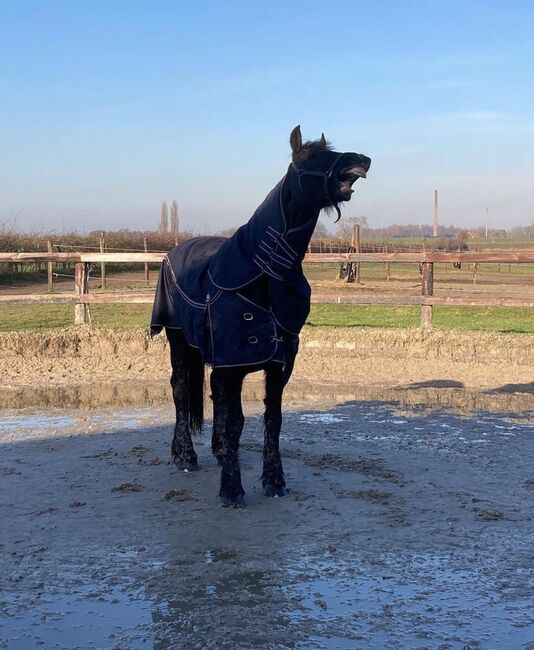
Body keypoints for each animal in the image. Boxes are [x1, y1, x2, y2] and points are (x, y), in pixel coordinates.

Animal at [151, 124, 372, 504]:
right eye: (308, 156)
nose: (360, 159)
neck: (261, 278)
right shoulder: (230, 363)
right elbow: (236, 421)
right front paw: (231, 489)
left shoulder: (276, 365)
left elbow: (272, 418)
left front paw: (274, 480)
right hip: (178, 339)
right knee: (180, 390)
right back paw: (185, 456)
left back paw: (218, 452)